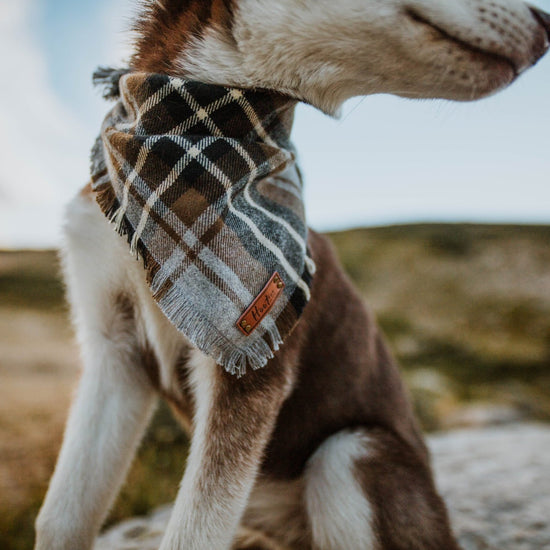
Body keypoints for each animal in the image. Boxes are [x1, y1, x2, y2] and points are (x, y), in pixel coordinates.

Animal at [35, 1, 550, 550]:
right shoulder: (114, 348)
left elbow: (192, 532)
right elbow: (60, 516)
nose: (546, 29)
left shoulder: (251, 364)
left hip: (350, 452)